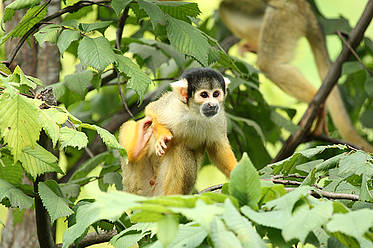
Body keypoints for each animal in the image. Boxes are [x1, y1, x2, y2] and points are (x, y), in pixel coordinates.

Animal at [117, 67, 237, 196]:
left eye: (216, 94)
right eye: (204, 95)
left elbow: (218, 148)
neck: (195, 113)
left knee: (181, 149)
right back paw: (136, 149)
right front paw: (162, 135)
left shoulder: (219, 117)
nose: (212, 105)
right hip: (133, 185)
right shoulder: (173, 104)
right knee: (132, 124)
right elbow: (152, 110)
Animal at [218, 0, 372, 152]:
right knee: (224, 7)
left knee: (269, 65)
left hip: (286, 15)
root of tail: (304, 5)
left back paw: (315, 99)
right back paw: (255, 44)